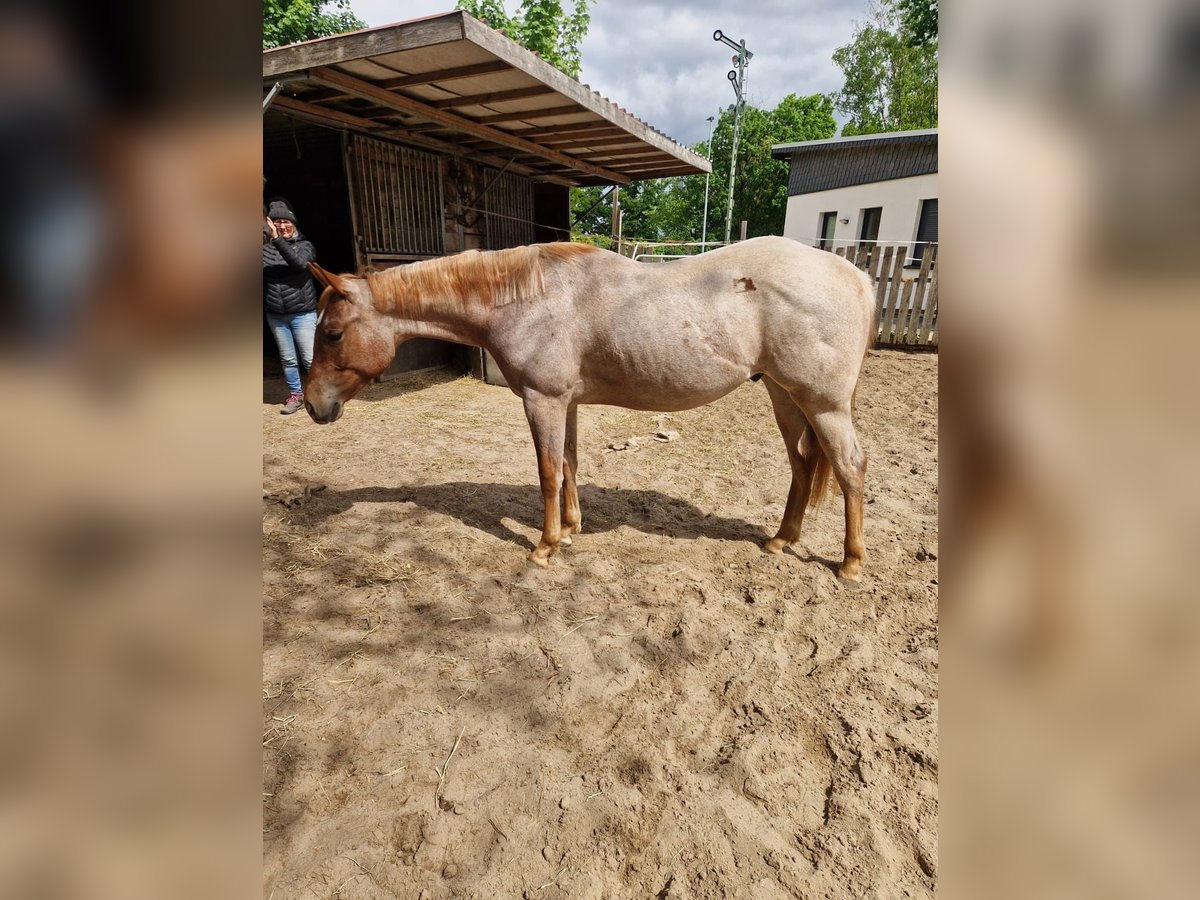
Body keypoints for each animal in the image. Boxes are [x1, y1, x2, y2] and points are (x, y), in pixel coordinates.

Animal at [304, 236, 875, 580]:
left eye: (332, 333)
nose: (311, 404)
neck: (527, 300)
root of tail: (855, 275)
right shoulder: (567, 403)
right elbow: (570, 464)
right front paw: (573, 528)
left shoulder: (544, 401)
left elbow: (547, 473)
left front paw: (545, 546)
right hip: (784, 395)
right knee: (802, 465)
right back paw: (781, 540)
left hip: (823, 404)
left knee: (849, 468)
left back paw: (850, 563)